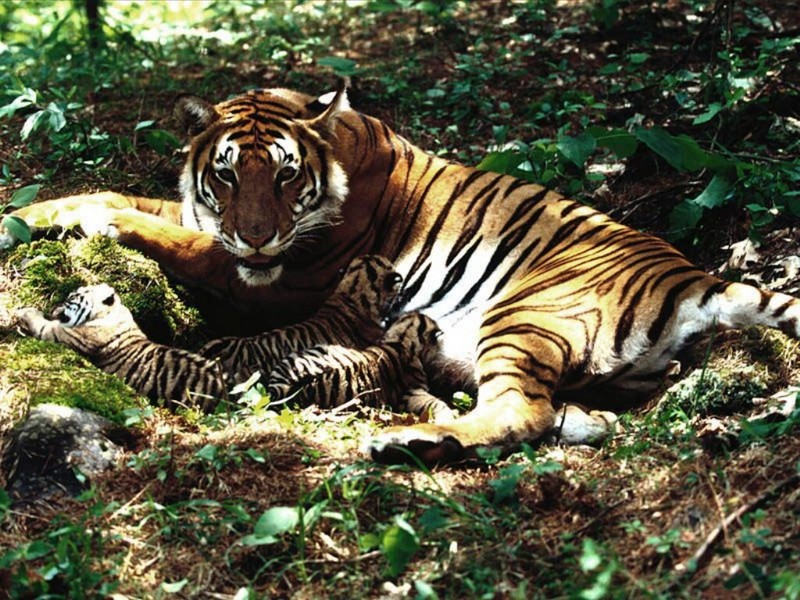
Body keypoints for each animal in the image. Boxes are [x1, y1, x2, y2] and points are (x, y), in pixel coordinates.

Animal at [3, 88, 796, 464]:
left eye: (285, 176)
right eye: (226, 174)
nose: (258, 236)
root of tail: (691, 277)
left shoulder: (277, 278)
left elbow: (154, 226)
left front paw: (100, 223)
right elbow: (121, 195)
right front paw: (29, 211)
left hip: (525, 315)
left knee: (522, 414)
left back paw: (403, 443)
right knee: (563, 417)